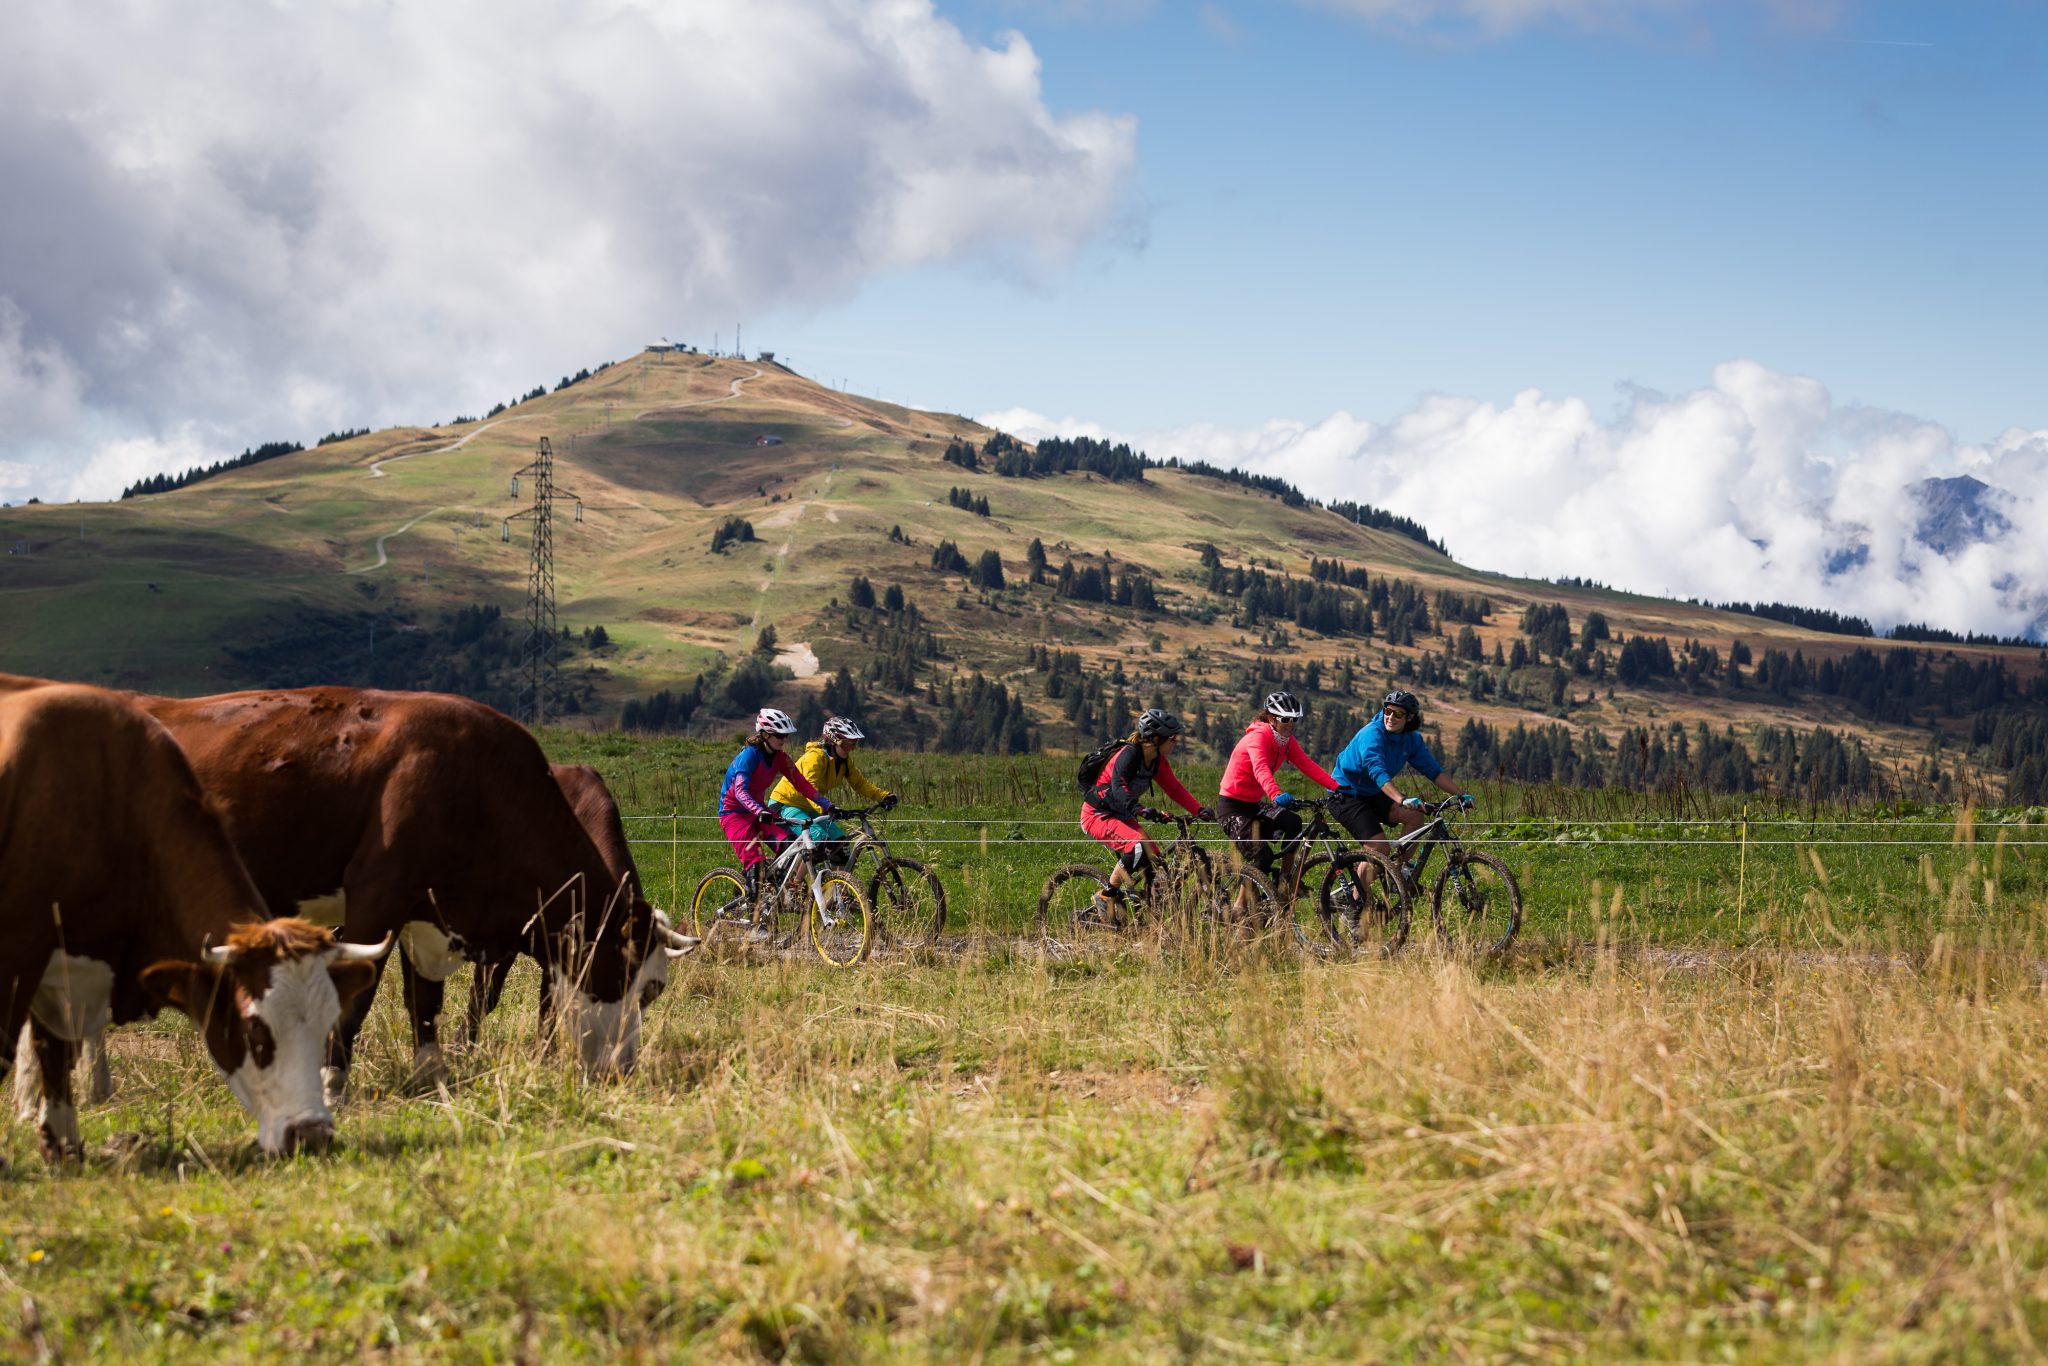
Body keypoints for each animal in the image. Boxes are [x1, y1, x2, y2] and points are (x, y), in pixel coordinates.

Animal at [0, 679, 389, 1163]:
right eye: (256, 1034)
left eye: (325, 1029)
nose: (312, 1134)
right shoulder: (21, 953)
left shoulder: (73, 965)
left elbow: (56, 1051)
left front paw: (63, 1148)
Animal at [125, 684, 696, 1097]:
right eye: (642, 984)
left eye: (656, 990)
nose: (625, 1068)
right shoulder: (377, 899)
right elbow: (361, 994)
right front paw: (331, 1081)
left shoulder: (429, 917)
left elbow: (425, 1000)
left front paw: (431, 1072)